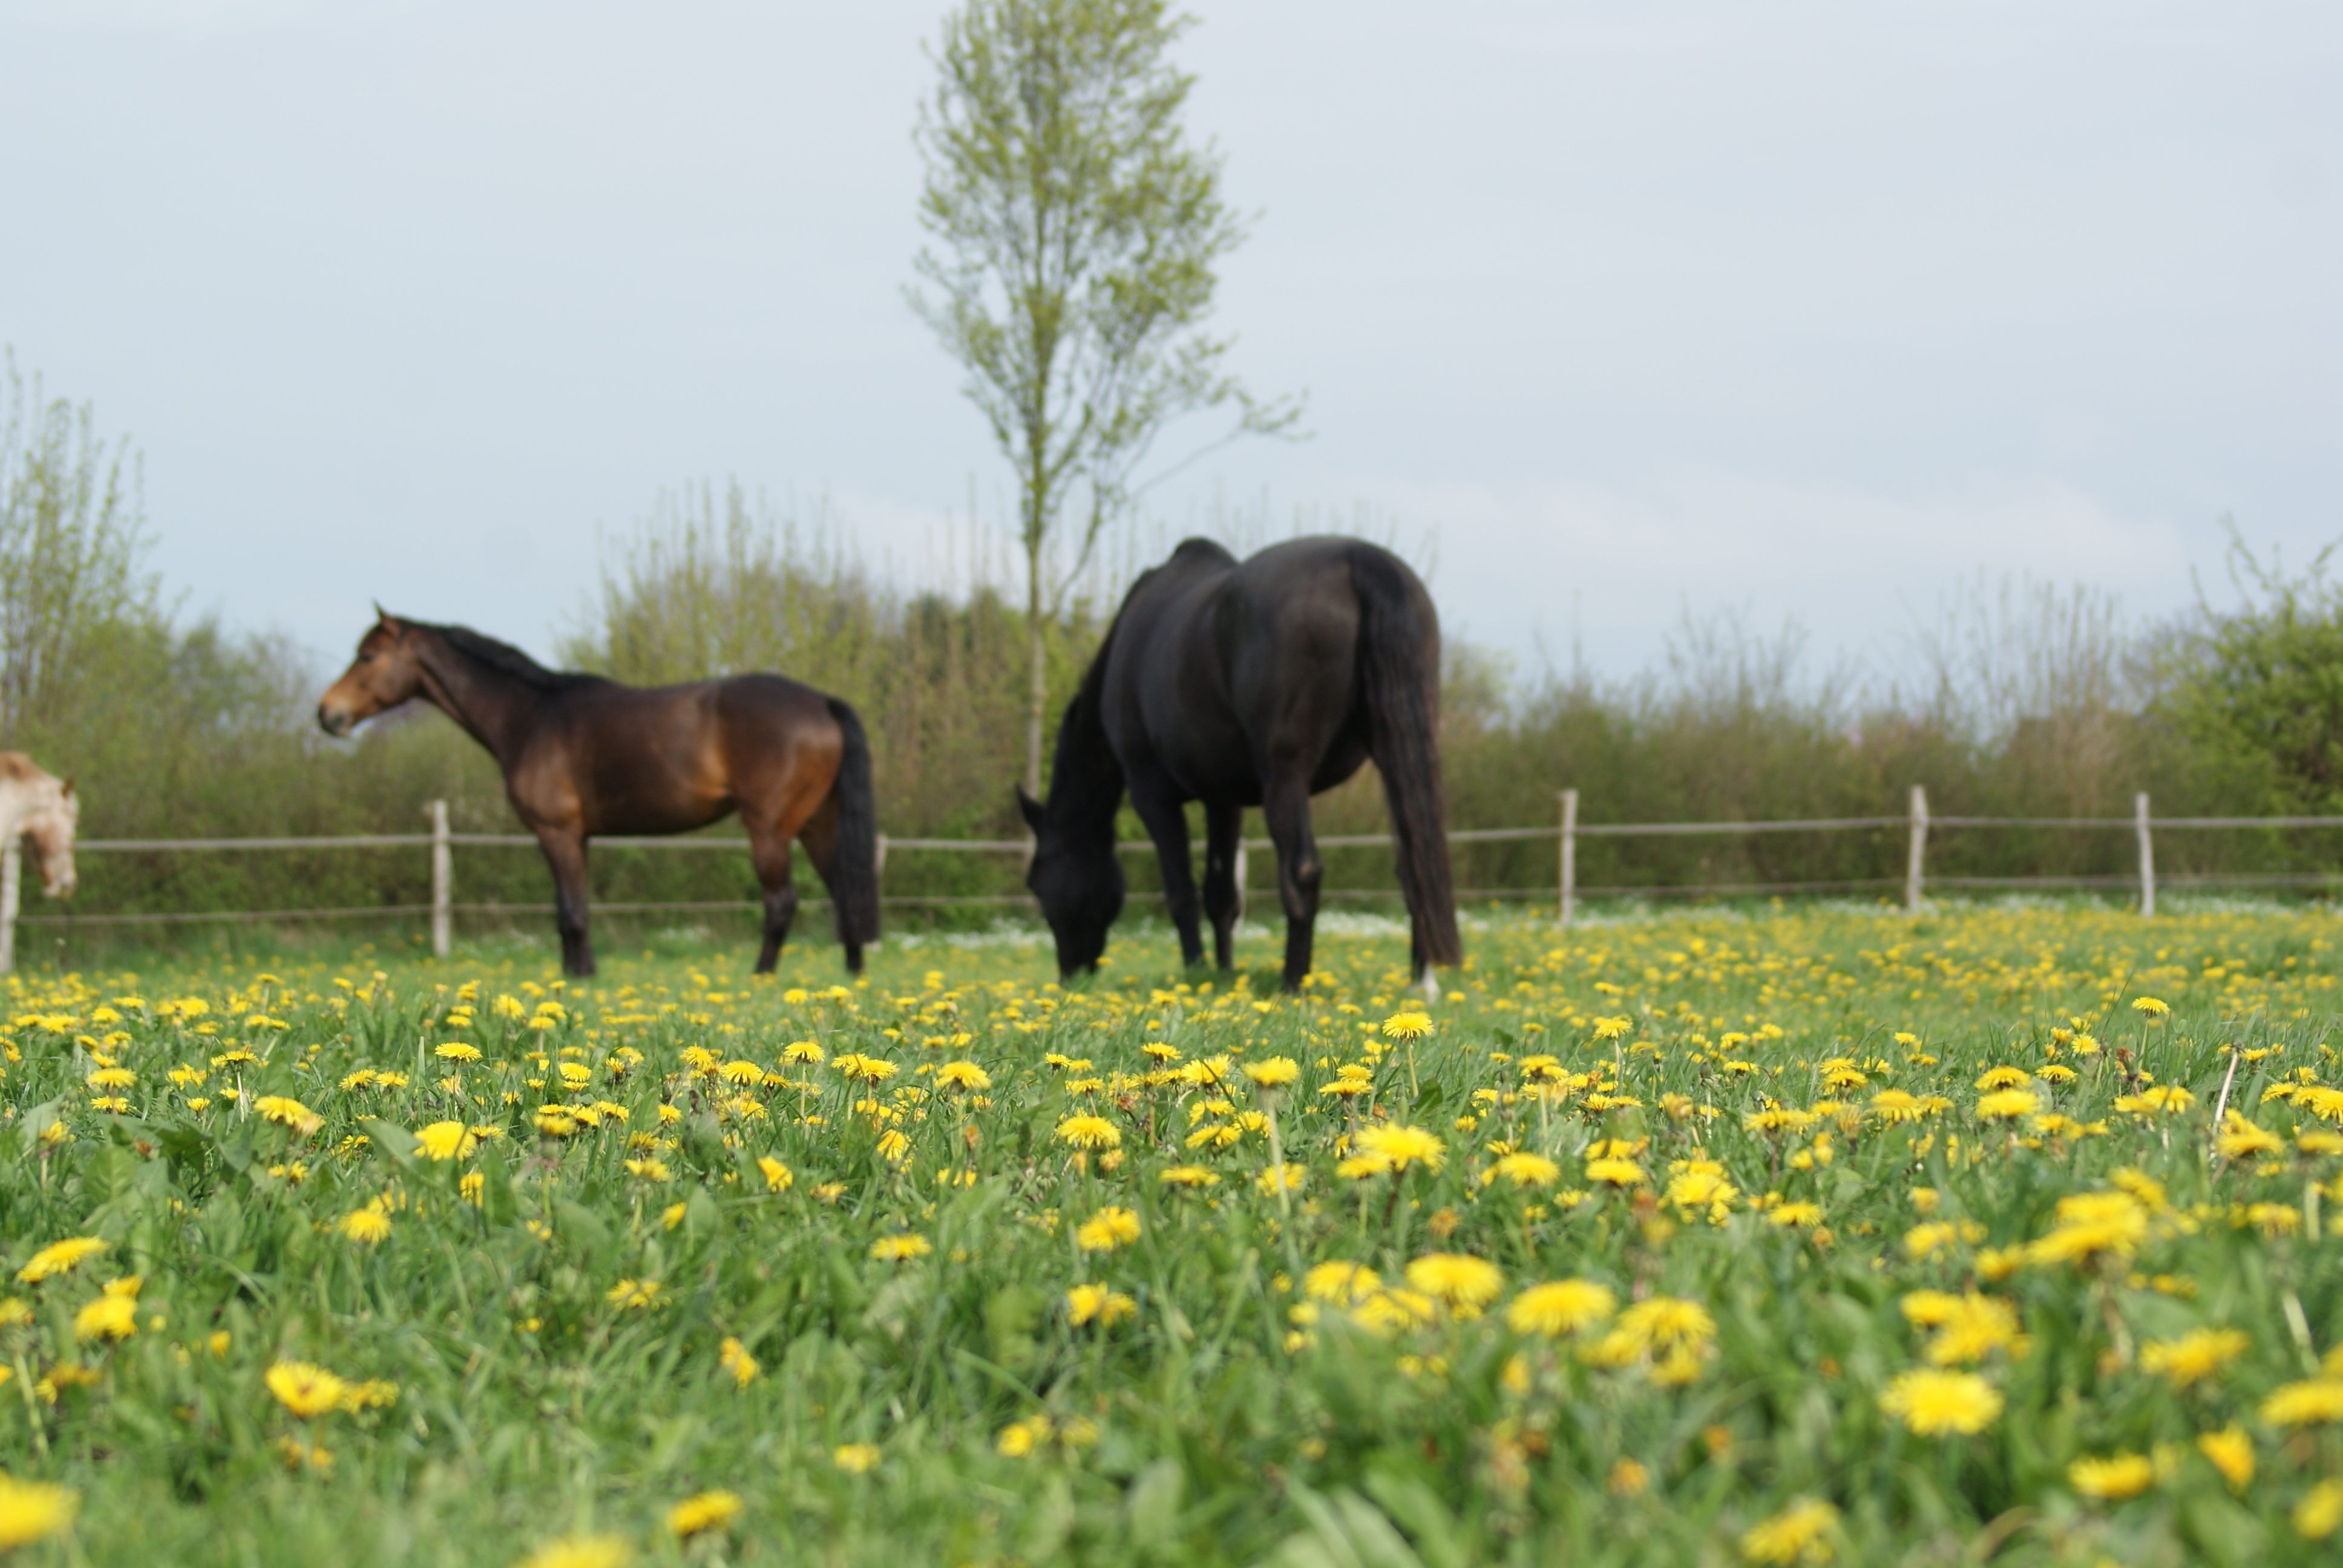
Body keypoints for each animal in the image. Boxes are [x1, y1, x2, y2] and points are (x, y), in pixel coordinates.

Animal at [318, 611, 879, 978]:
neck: (531, 716)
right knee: (843, 892)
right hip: (816, 824)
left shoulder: (556, 832)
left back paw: (762, 975)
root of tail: (820, 702)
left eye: (367, 656)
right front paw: (579, 973)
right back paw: (851, 974)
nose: (327, 714)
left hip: (770, 828)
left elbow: (570, 912)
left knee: (782, 902)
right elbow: (572, 906)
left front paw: (579, 978)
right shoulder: (578, 838)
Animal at [1019, 536, 1460, 994]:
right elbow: (1222, 895)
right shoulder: (1223, 800)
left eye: (1035, 880)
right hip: (1399, 752)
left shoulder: (1152, 795)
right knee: (1416, 861)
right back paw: (1421, 983)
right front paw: (1223, 972)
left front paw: (1195, 971)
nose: (1070, 975)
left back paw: (1293, 983)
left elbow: (1182, 893)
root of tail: (1358, 556)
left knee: (1302, 871)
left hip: (1285, 777)